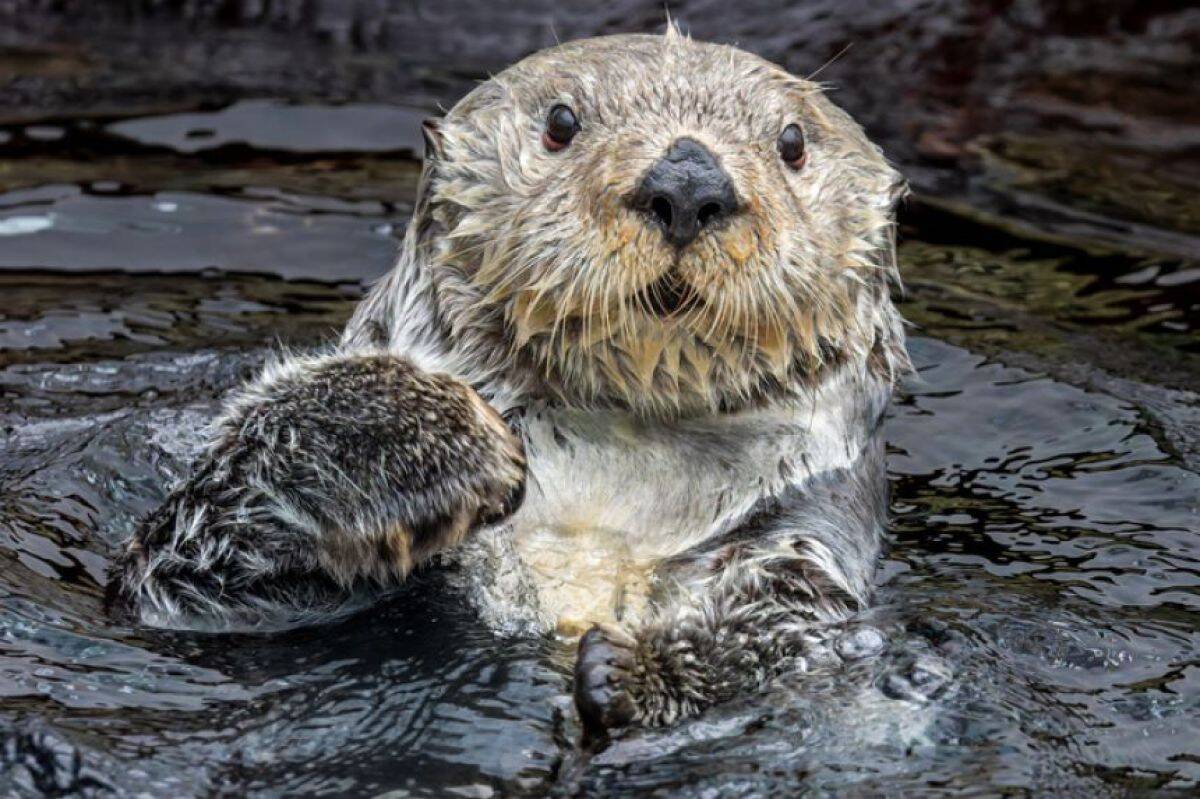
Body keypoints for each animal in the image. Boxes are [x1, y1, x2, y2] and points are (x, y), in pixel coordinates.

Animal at [110, 27, 909, 738]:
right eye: (561, 122)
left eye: (793, 143)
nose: (687, 181)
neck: (616, 478)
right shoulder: (201, 585)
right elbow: (180, 562)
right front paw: (439, 438)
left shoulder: (808, 524)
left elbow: (786, 622)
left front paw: (636, 671)